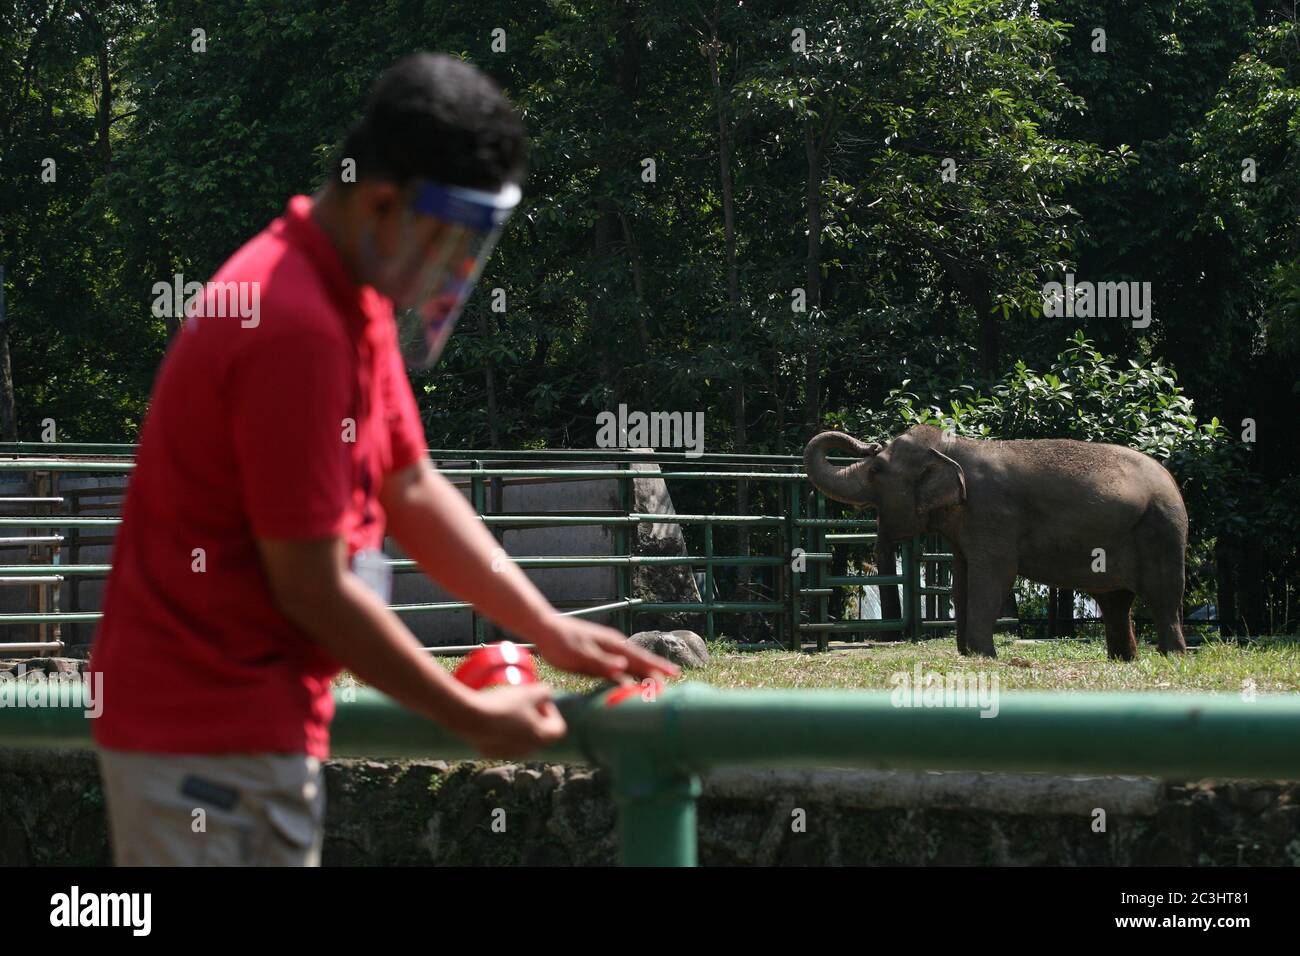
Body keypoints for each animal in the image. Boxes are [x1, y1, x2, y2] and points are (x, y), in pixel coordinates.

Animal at [800, 426, 1190, 658]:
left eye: (876, 470)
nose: (870, 442)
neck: (953, 447)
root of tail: (1171, 480)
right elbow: (962, 578)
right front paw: (967, 654)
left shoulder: (992, 513)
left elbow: (994, 574)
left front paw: (983, 655)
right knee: (1115, 601)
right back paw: (1124, 659)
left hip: (1162, 530)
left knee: (1163, 597)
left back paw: (1173, 655)